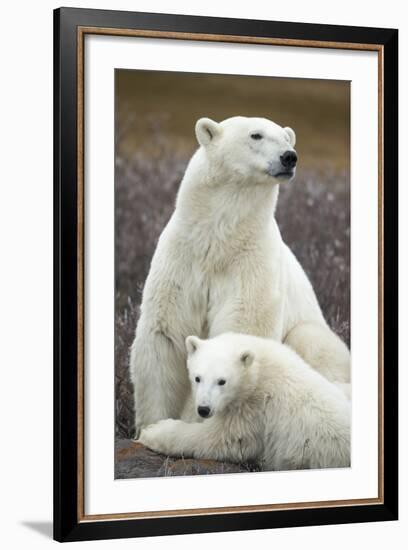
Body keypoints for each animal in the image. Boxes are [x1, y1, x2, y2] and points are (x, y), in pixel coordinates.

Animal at [131, 116, 350, 440]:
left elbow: (240, 327)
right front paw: (150, 426)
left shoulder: (250, 263)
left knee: (310, 342)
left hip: (315, 336)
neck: (218, 239)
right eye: (256, 135)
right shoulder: (182, 260)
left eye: (287, 138)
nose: (290, 157)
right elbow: (165, 336)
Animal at [140, 334, 350, 472]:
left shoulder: (255, 407)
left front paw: (153, 431)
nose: (204, 409)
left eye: (222, 381)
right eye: (197, 378)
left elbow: (222, 438)